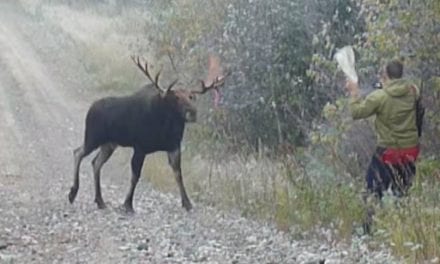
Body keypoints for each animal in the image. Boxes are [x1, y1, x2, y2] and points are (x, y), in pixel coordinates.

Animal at [69, 55, 227, 212]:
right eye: (176, 97)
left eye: (191, 97)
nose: (192, 113)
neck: (166, 128)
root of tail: (90, 109)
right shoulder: (140, 147)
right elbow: (135, 176)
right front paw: (128, 204)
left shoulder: (174, 147)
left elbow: (178, 175)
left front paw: (187, 203)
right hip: (93, 137)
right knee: (78, 152)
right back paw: (73, 193)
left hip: (109, 144)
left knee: (95, 163)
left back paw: (100, 201)